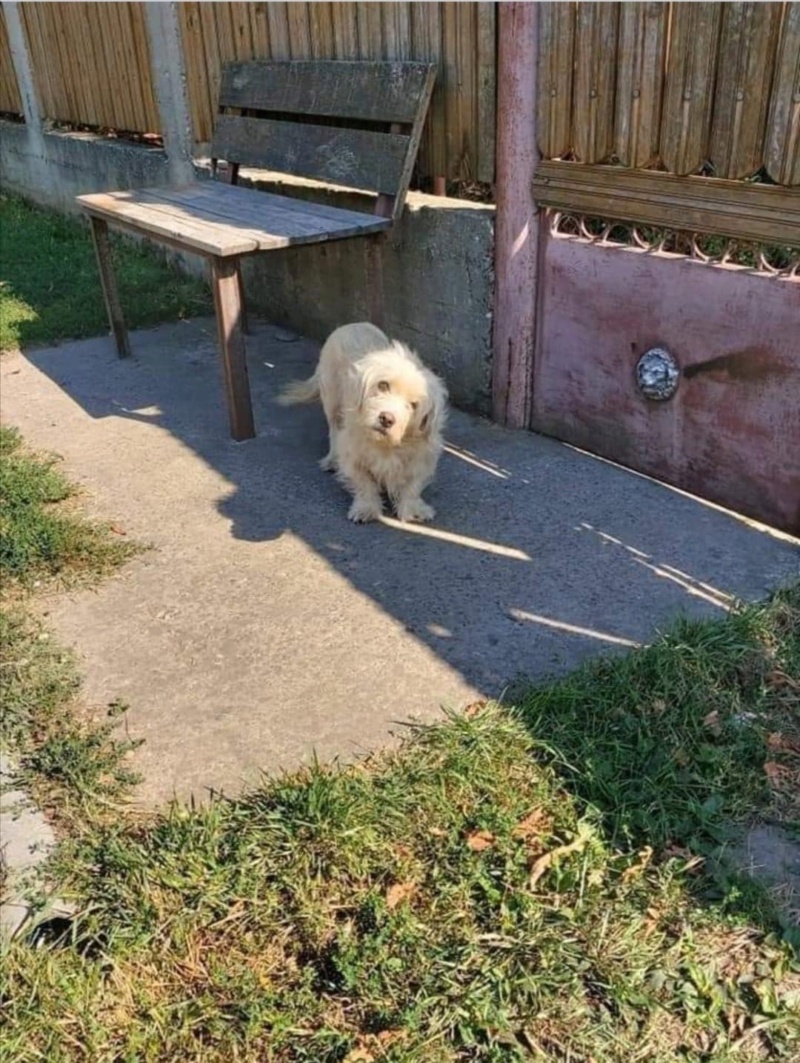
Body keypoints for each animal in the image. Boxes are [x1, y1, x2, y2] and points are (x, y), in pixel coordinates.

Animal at [278, 323, 446, 522]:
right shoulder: (352, 455)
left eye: (413, 405)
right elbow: (364, 483)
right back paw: (332, 458)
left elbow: (412, 486)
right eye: (383, 385)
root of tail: (351, 325)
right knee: (334, 430)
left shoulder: (422, 458)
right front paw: (367, 508)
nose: (386, 419)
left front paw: (413, 509)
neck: (386, 445)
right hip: (332, 400)